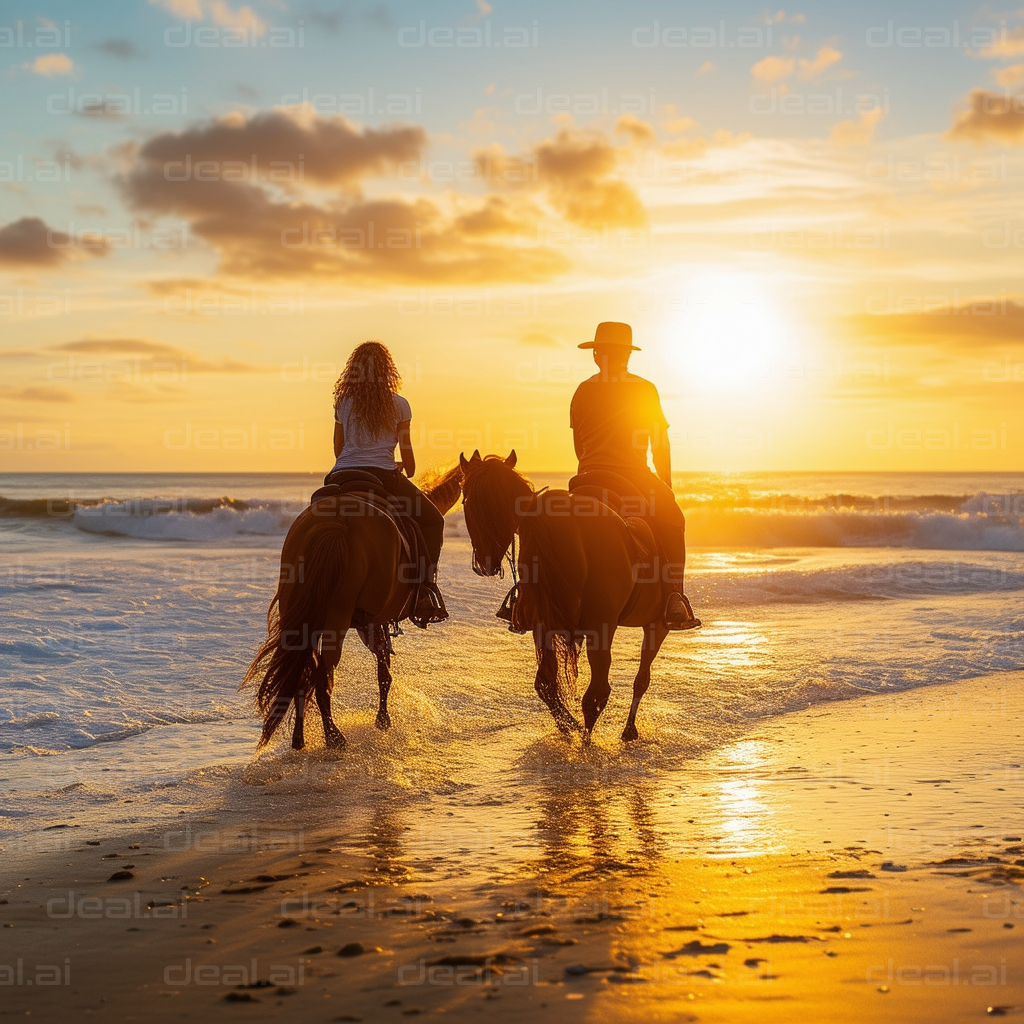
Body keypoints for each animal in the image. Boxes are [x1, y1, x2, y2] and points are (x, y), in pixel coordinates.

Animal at [239, 466, 464, 753]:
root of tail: (337, 522)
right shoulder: (374, 622)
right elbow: (384, 672)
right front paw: (383, 721)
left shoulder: (369, 623)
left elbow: (382, 667)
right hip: (337, 618)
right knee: (321, 677)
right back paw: (334, 737)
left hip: (305, 613)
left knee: (302, 672)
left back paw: (300, 739)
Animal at [460, 452, 675, 741]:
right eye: (469, 503)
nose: (484, 563)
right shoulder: (650, 625)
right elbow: (638, 679)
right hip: (596, 626)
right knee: (593, 691)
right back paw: (589, 734)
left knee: (562, 686)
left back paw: (578, 730)